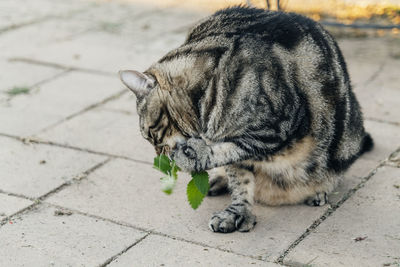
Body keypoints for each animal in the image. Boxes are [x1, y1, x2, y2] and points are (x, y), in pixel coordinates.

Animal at [118, 5, 372, 233]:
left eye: (152, 133)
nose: (159, 155)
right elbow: (240, 180)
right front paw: (237, 212)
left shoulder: (277, 128)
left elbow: (236, 148)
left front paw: (192, 156)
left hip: (345, 143)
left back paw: (318, 191)